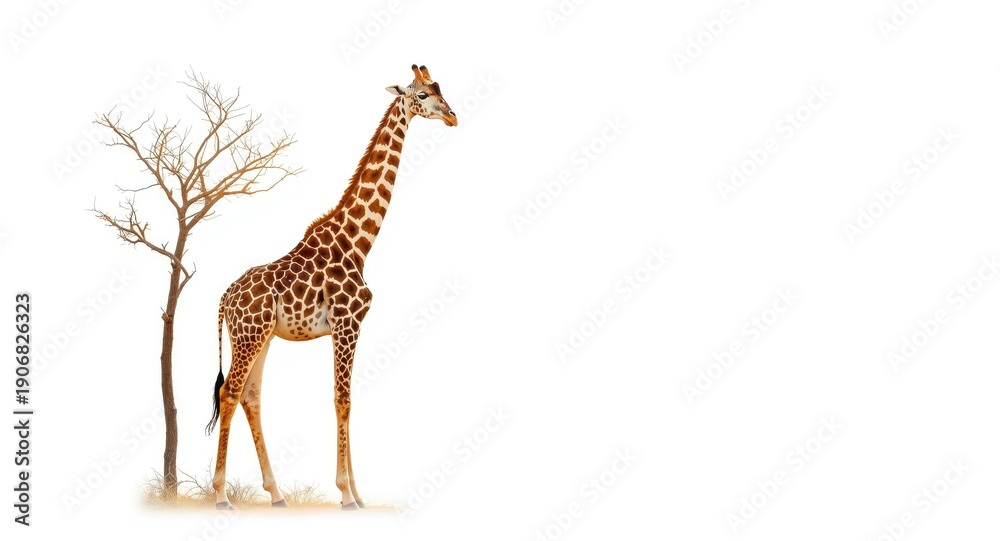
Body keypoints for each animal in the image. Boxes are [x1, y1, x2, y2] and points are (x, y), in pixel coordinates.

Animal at [205, 65, 457, 510]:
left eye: (440, 89)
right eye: (423, 95)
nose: (453, 116)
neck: (358, 242)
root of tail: (224, 298)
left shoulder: (352, 327)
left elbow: (349, 399)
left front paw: (358, 494)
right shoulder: (346, 323)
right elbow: (342, 399)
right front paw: (346, 494)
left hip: (259, 336)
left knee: (251, 395)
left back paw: (277, 495)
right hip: (250, 335)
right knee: (230, 392)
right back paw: (220, 495)